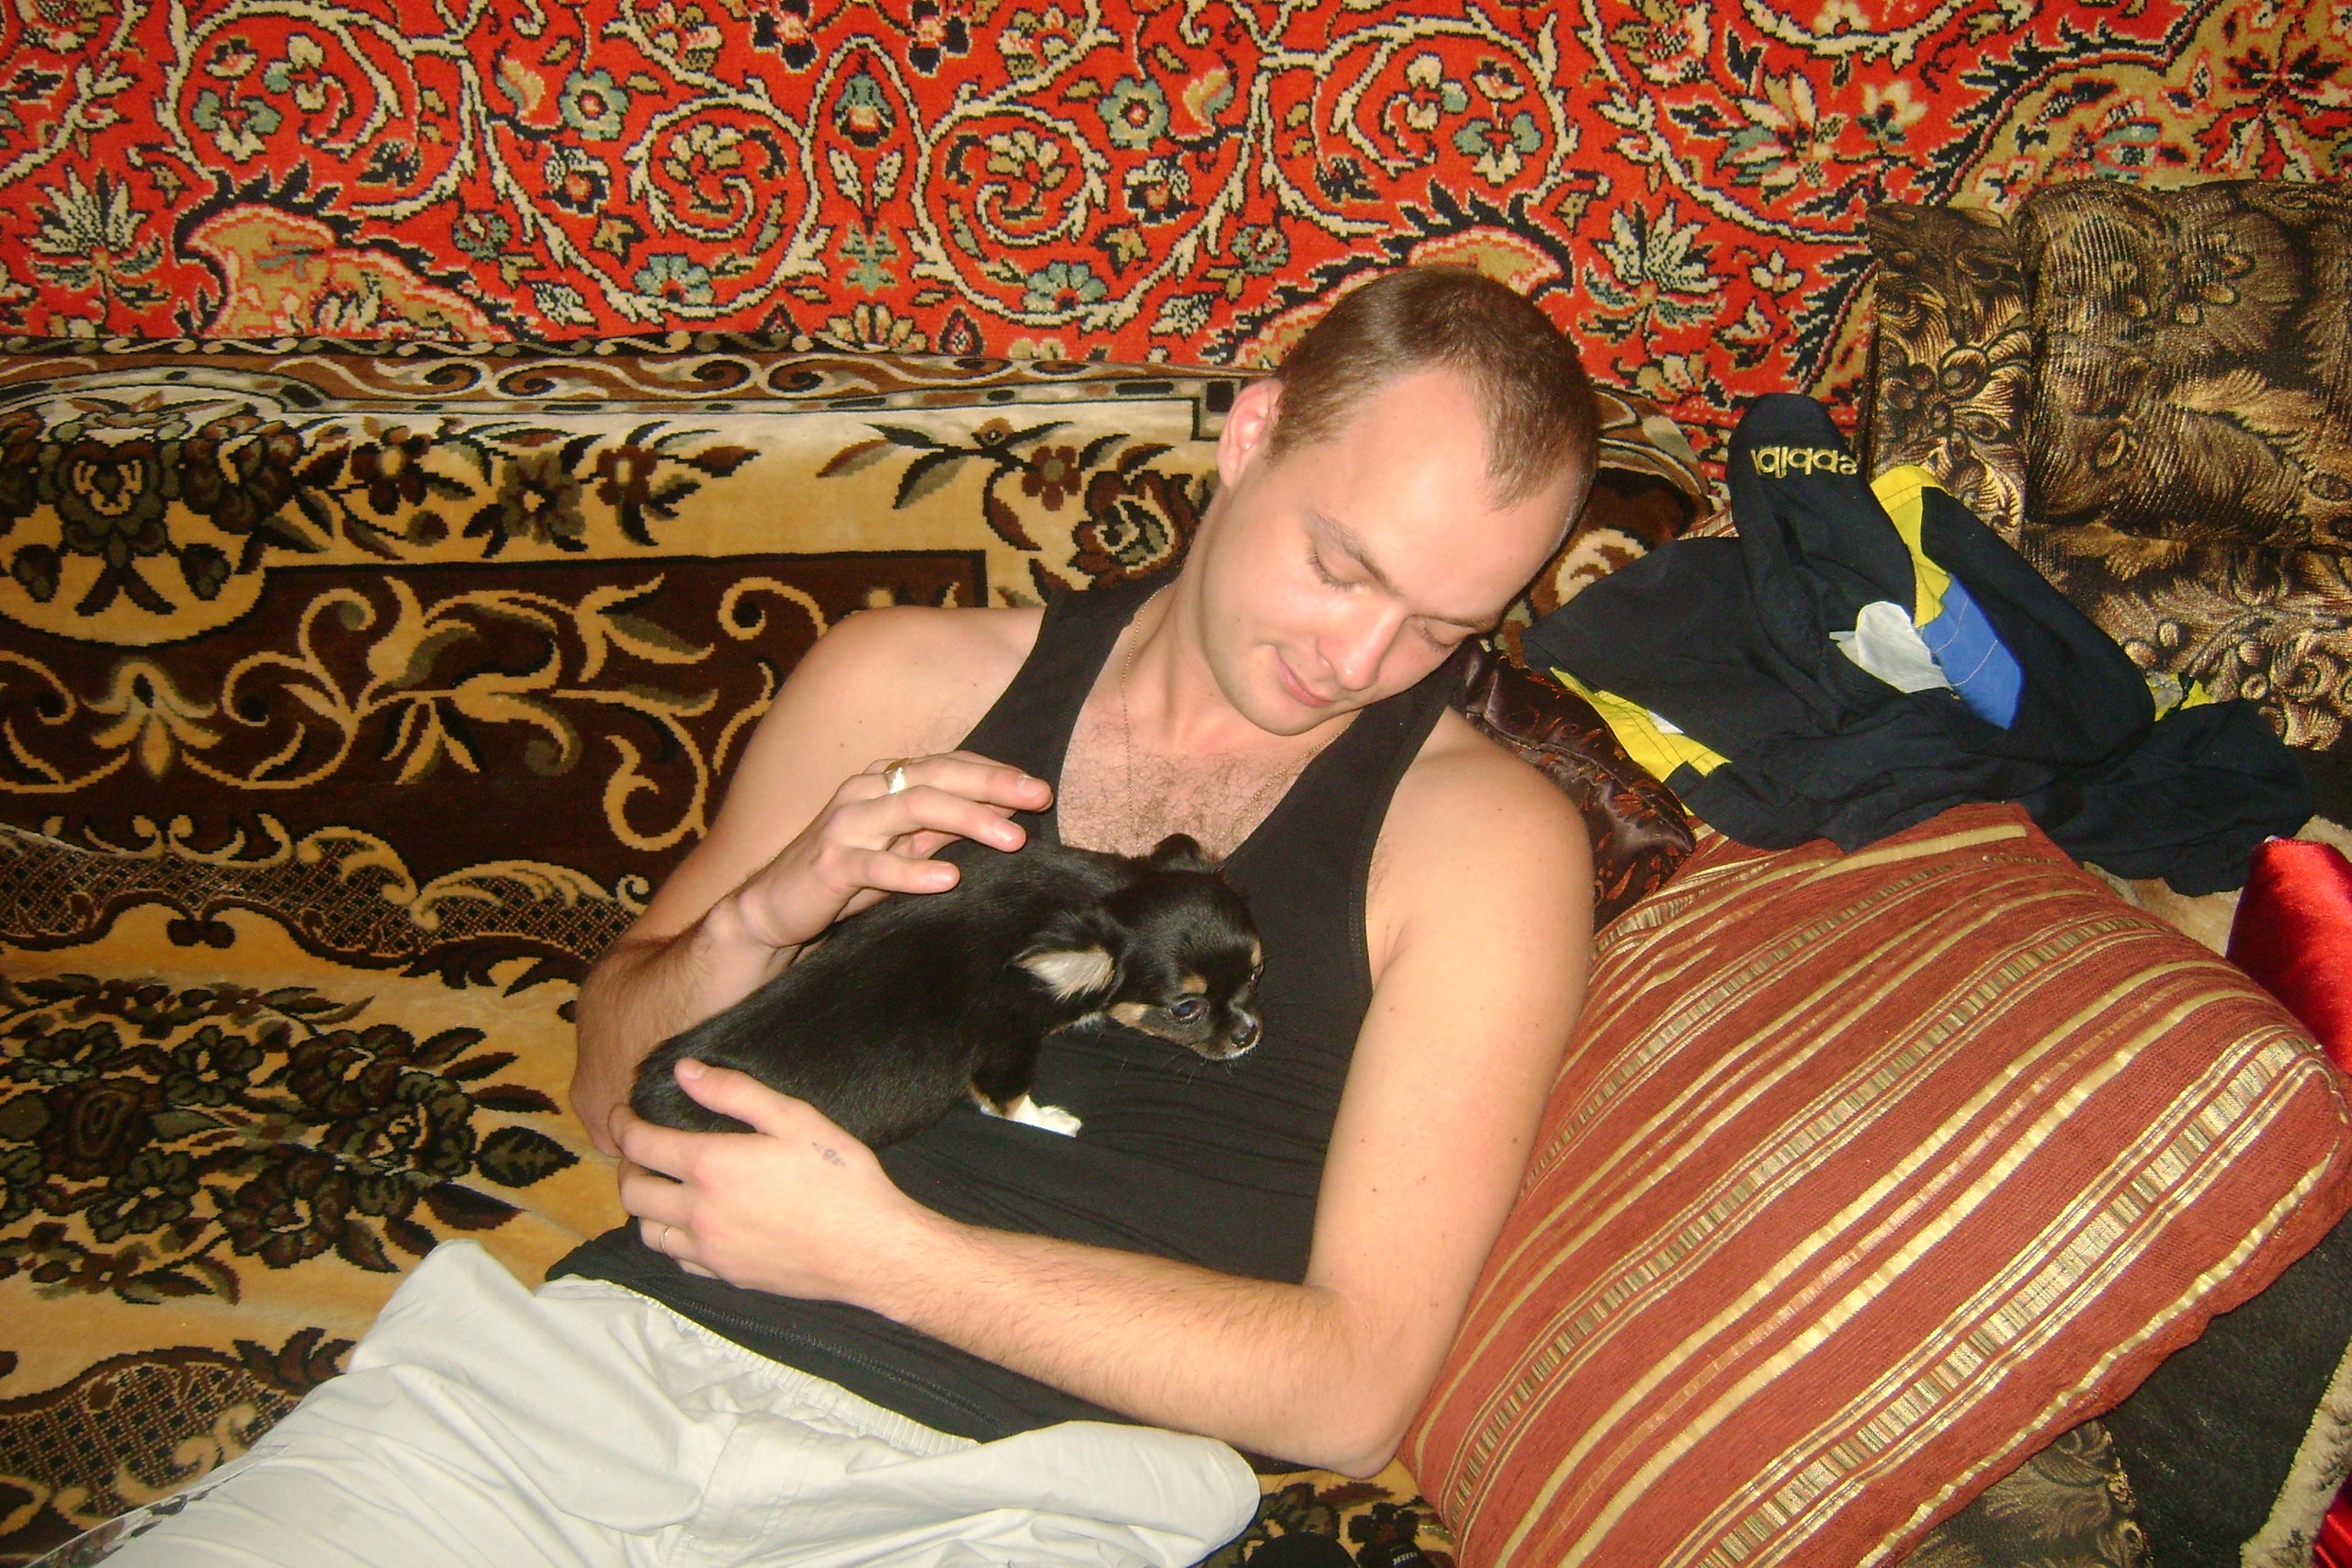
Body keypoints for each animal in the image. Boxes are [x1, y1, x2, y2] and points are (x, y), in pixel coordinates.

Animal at [630, 834, 1263, 1145]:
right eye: (1186, 1009)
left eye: (1258, 972)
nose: (1250, 1034)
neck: (1096, 898)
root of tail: (647, 1098)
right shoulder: (1007, 1045)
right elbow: (1008, 1101)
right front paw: (1051, 1122)